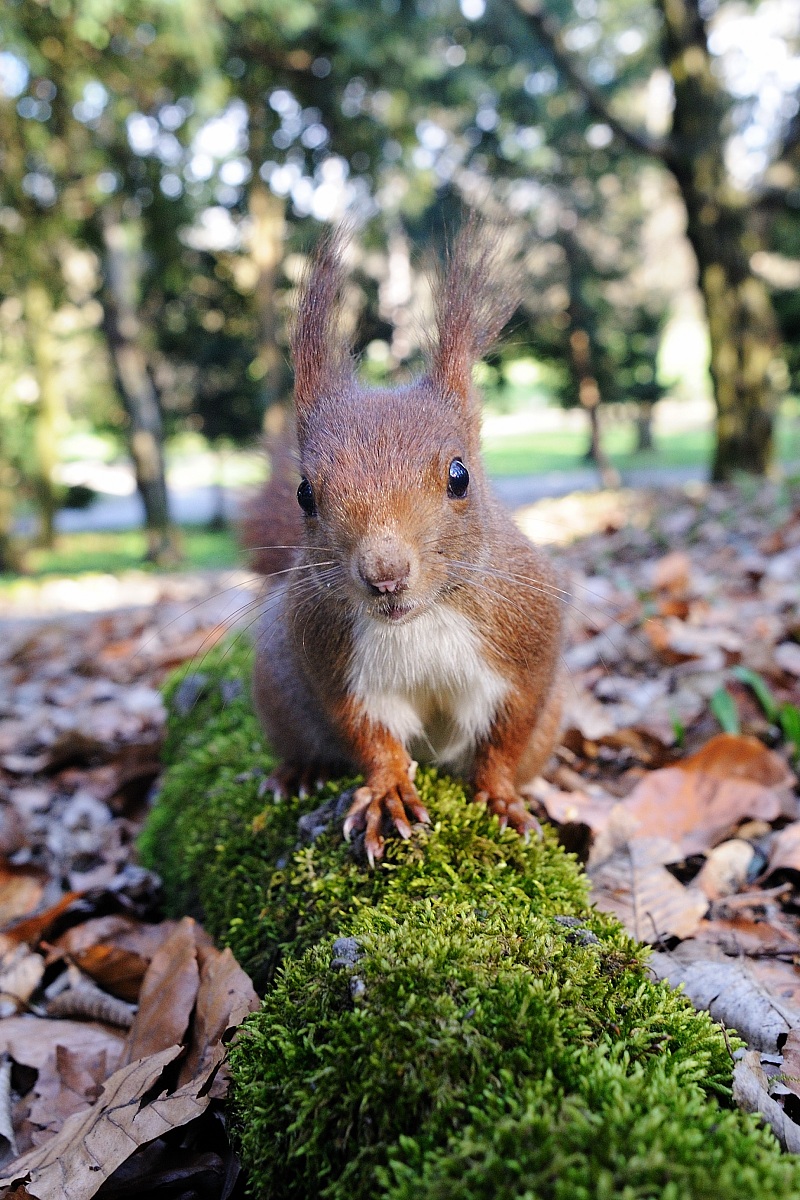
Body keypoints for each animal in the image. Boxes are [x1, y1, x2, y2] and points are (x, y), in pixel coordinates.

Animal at [242, 220, 565, 865]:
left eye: (459, 475)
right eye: (304, 494)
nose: (385, 574)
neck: (421, 620)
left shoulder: (528, 642)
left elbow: (506, 736)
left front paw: (500, 798)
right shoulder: (333, 661)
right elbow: (367, 735)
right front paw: (389, 791)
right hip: (278, 686)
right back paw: (297, 772)